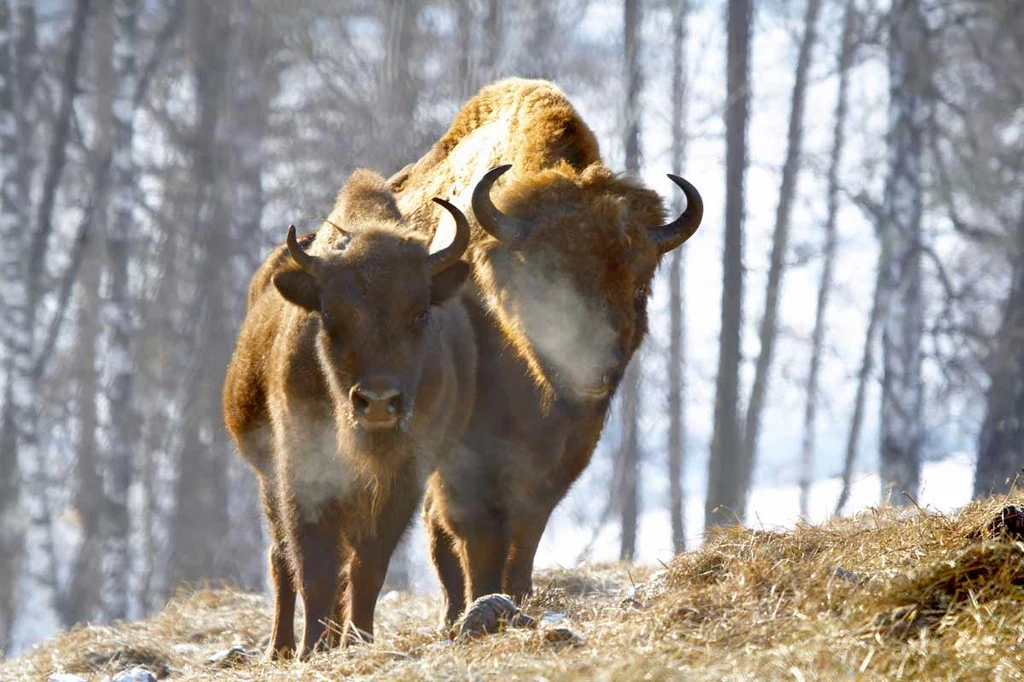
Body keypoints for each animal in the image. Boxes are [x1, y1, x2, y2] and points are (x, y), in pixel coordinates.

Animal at [221, 166, 475, 655]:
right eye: (330, 316)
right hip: (267, 478)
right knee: (280, 560)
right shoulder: (304, 476)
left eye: (420, 313)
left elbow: (367, 568)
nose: (377, 401)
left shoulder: (401, 482)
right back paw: (281, 646)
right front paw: (312, 648)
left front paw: (357, 639)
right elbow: (313, 568)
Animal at [385, 76, 704, 622]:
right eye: (547, 280)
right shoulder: (464, 453)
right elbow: (475, 527)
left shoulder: (564, 449)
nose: (597, 368)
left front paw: (514, 597)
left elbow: (528, 522)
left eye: (639, 287)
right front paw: (485, 602)